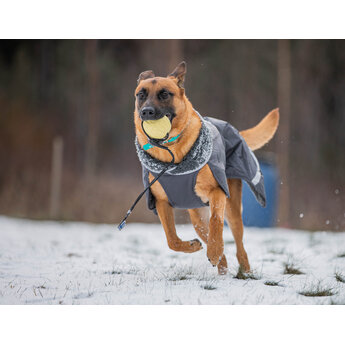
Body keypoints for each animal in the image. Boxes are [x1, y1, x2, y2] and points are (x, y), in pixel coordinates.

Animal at [133, 60, 278, 272]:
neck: (172, 156)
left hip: (232, 209)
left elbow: (216, 222)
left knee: (238, 244)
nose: (146, 112)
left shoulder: (217, 192)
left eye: (165, 94)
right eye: (141, 94)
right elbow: (171, 239)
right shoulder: (161, 201)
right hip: (196, 216)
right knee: (205, 232)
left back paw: (242, 268)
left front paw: (215, 250)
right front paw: (194, 246)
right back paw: (221, 263)